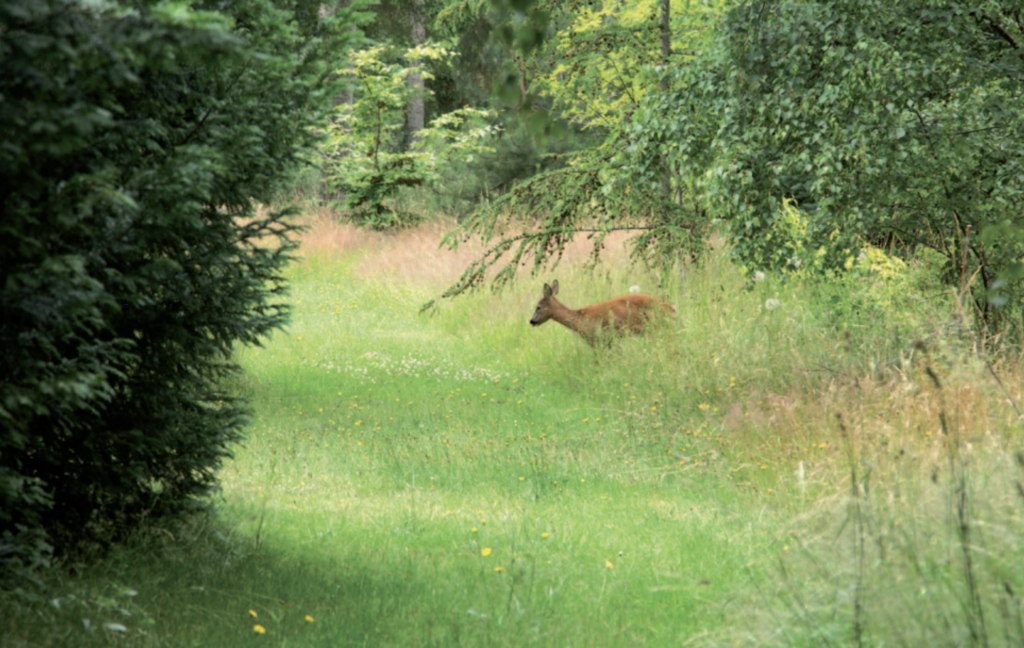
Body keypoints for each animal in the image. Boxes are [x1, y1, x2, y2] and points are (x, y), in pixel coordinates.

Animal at [532, 278, 675, 346]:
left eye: (538, 307)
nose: (531, 321)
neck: (579, 319)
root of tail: (672, 307)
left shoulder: (601, 338)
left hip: (652, 327)